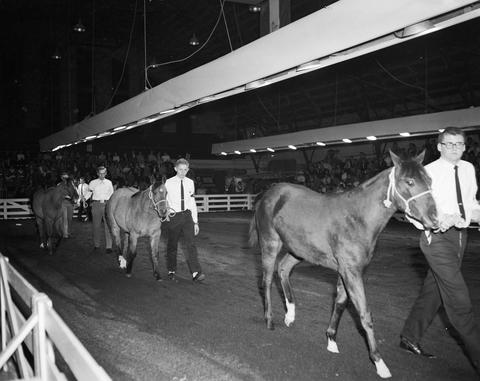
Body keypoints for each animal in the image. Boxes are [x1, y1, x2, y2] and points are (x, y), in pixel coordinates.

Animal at [249, 151, 436, 378]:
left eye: (429, 180)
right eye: (409, 181)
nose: (435, 219)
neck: (358, 218)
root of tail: (268, 193)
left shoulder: (346, 271)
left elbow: (339, 302)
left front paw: (331, 340)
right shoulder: (351, 272)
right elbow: (364, 313)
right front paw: (379, 362)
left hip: (299, 249)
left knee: (283, 269)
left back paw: (290, 314)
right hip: (270, 243)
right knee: (266, 280)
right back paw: (269, 320)